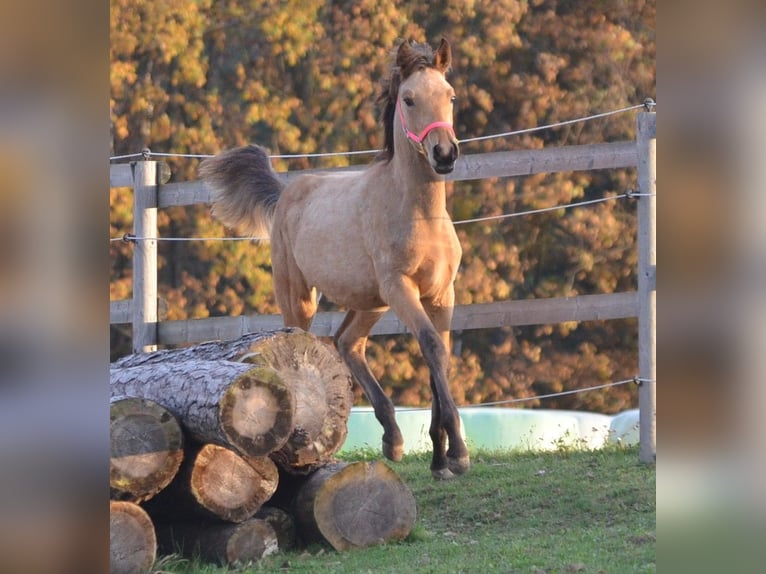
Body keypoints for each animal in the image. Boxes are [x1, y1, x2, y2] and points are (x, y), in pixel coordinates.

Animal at [201, 39, 472, 482]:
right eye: (409, 99)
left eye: (450, 96)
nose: (444, 154)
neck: (419, 215)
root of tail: (286, 192)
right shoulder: (401, 288)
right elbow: (431, 345)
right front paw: (458, 454)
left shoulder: (441, 293)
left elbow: (439, 355)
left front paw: (440, 458)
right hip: (301, 296)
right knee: (305, 341)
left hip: (369, 302)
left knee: (347, 341)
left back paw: (393, 439)